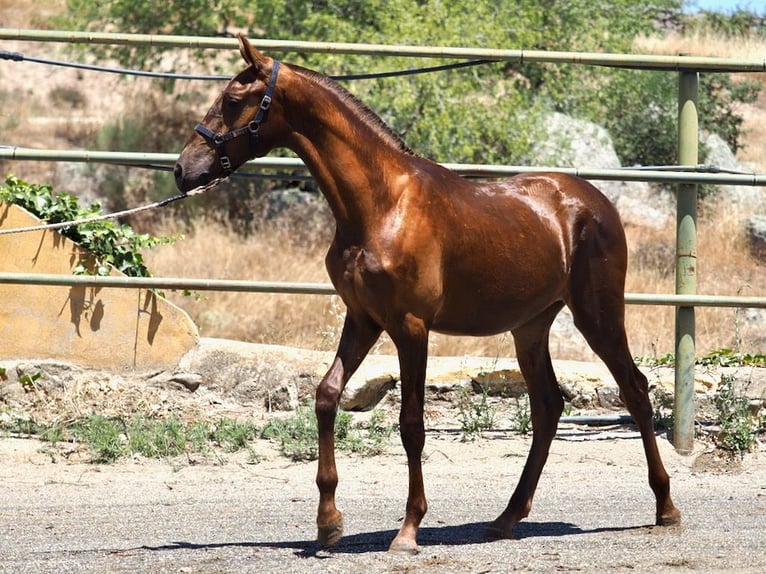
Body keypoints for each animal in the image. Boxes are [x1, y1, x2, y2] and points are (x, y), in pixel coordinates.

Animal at [176, 33, 684, 556]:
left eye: (232, 101)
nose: (182, 171)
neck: (381, 205)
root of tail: (597, 203)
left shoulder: (410, 328)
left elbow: (411, 424)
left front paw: (407, 530)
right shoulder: (363, 318)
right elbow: (327, 395)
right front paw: (328, 524)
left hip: (597, 313)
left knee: (634, 389)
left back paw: (665, 508)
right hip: (530, 327)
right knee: (548, 407)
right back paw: (506, 518)